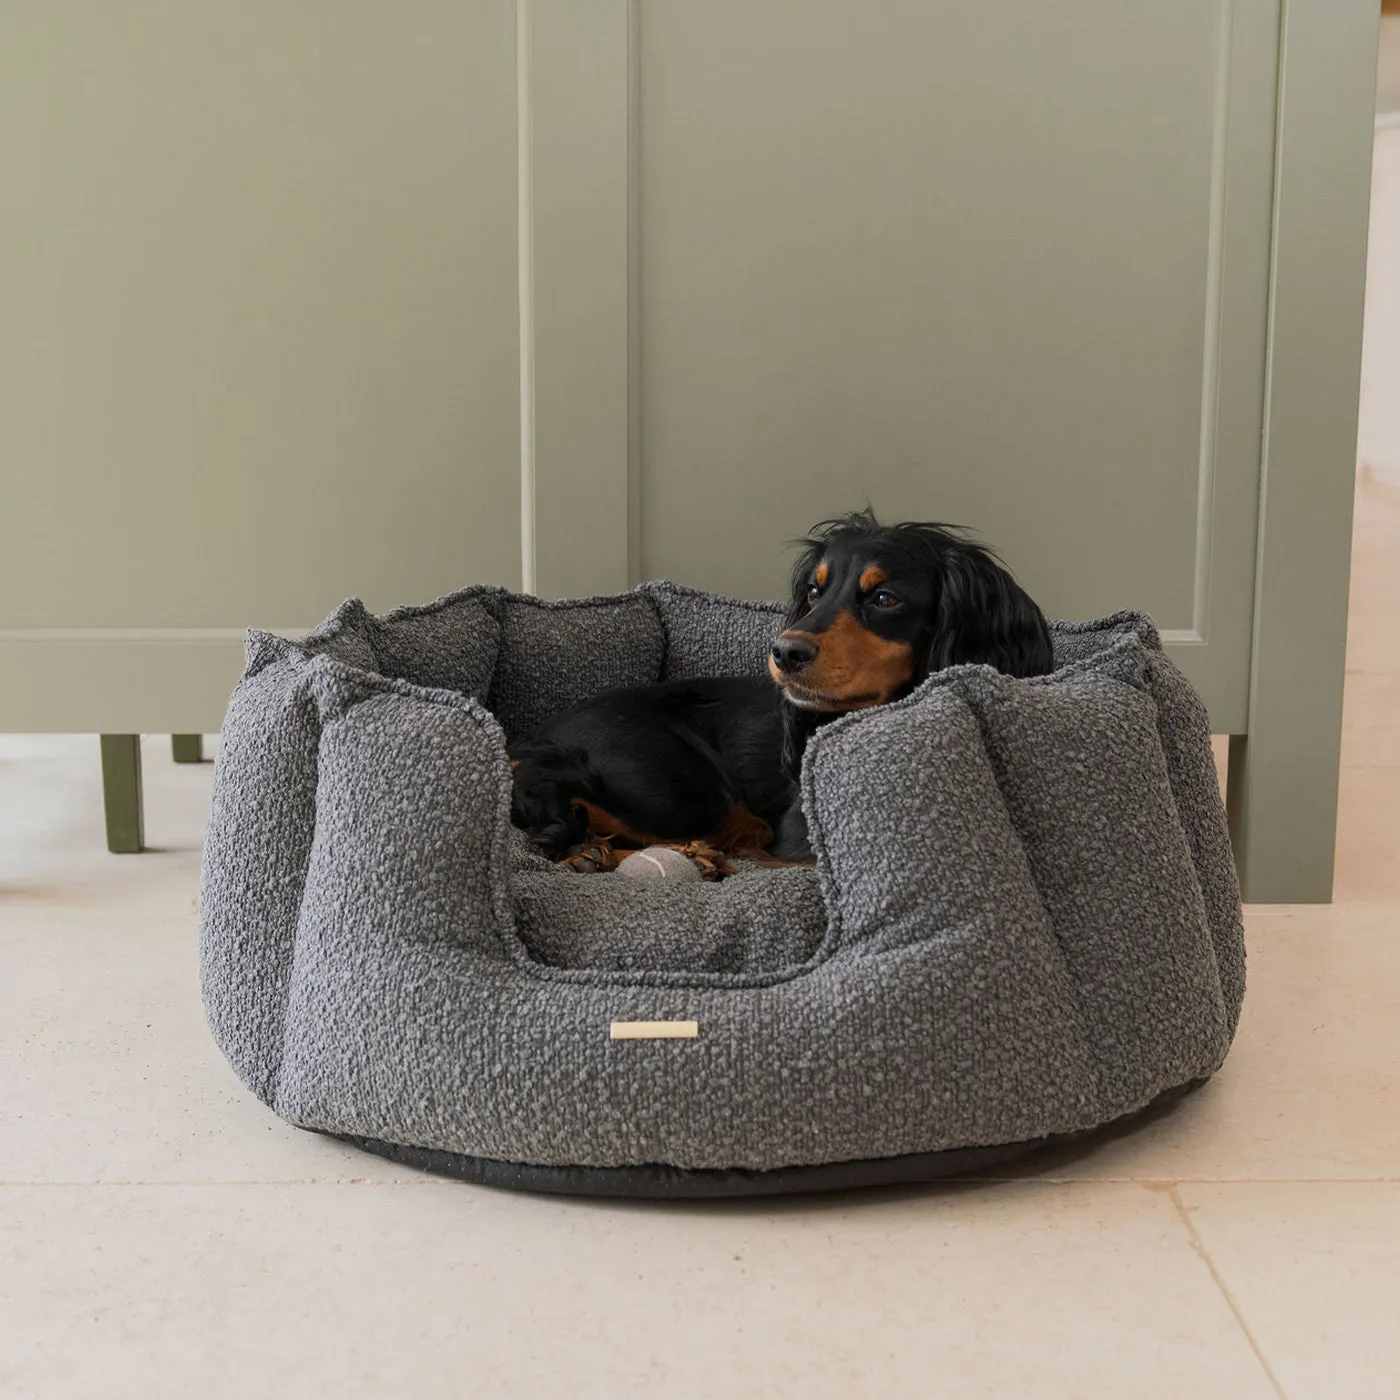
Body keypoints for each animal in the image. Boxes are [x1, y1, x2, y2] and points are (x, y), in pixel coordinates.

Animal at [506, 509, 1052, 868]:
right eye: (813, 590)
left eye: (885, 598)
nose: (785, 652)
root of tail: (537, 735)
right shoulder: (796, 846)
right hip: (687, 789)